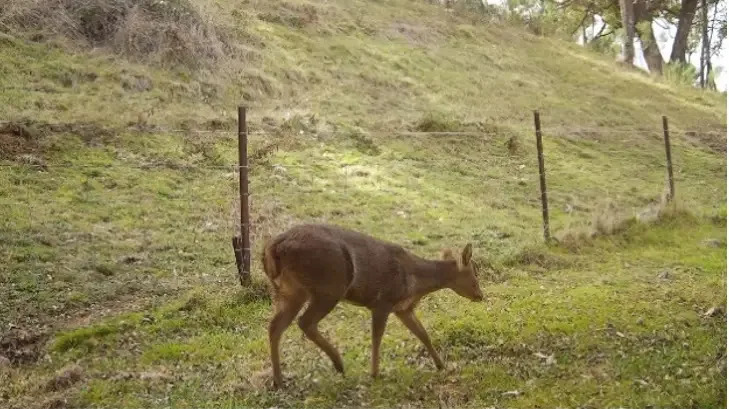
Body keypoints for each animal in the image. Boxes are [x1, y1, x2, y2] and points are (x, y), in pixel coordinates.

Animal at [261, 223, 484, 388]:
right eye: (475, 274)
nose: (480, 295)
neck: (414, 281)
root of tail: (273, 248)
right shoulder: (382, 302)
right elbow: (377, 337)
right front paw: (375, 373)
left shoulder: (402, 308)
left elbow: (423, 334)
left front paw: (441, 365)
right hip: (329, 285)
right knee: (304, 322)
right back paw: (339, 364)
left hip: (289, 291)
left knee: (275, 326)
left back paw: (279, 380)